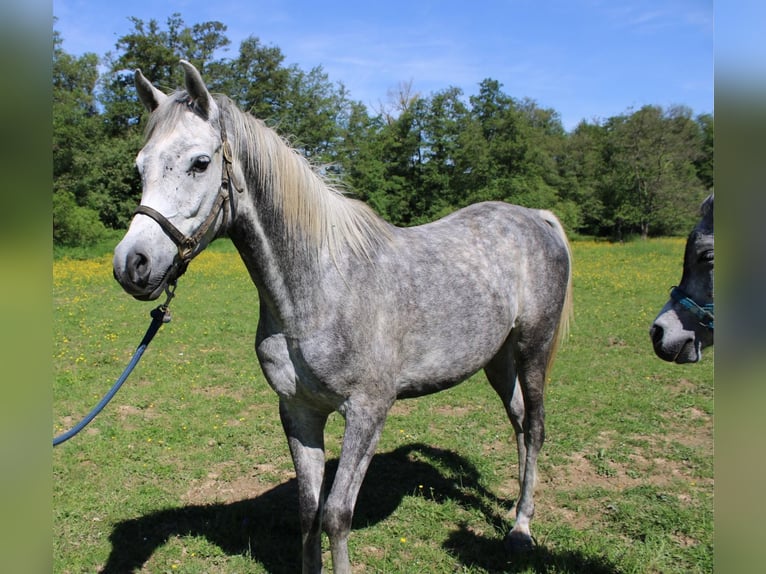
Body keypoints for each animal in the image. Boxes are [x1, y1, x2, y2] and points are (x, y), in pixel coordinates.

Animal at [113, 60, 574, 573]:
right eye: (140, 167)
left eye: (199, 163)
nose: (132, 264)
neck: (320, 290)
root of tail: (535, 218)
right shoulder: (299, 411)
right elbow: (309, 510)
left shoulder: (368, 411)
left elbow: (336, 514)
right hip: (498, 359)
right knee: (517, 421)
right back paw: (513, 510)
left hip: (533, 350)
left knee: (535, 428)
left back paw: (521, 529)